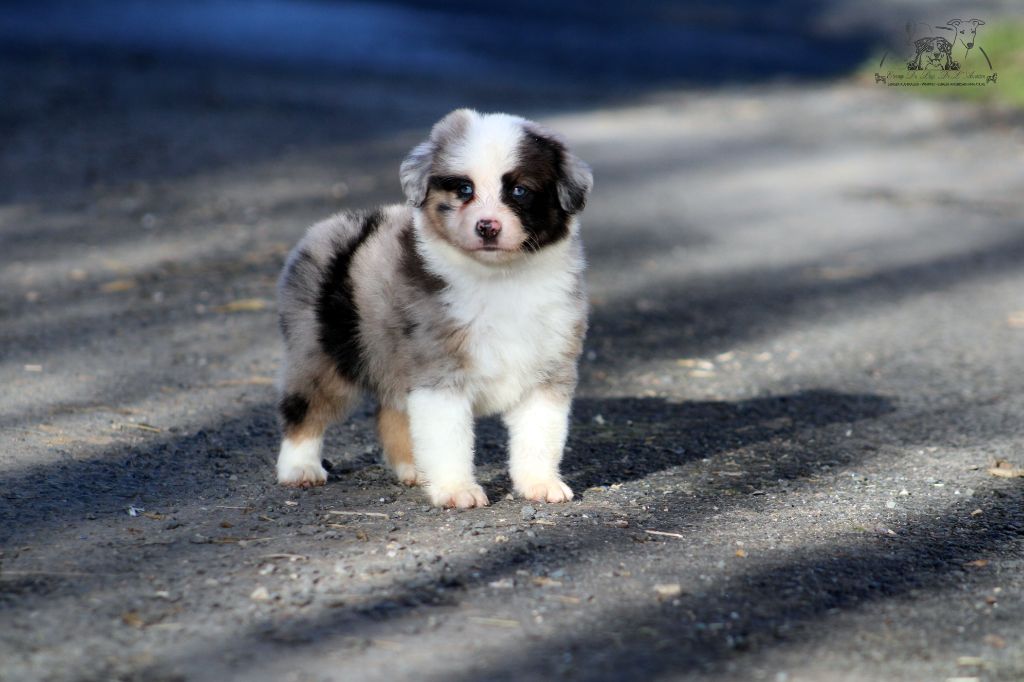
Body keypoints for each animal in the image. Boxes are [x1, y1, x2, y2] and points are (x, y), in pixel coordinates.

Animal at [274, 109, 593, 507]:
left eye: (519, 190)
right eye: (464, 190)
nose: (487, 227)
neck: (499, 278)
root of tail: (333, 225)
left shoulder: (549, 369)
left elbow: (540, 435)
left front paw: (540, 484)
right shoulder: (440, 372)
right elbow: (449, 438)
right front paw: (457, 490)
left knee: (392, 412)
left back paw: (414, 469)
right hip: (318, 352)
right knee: (305, 408)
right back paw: (299, 468)